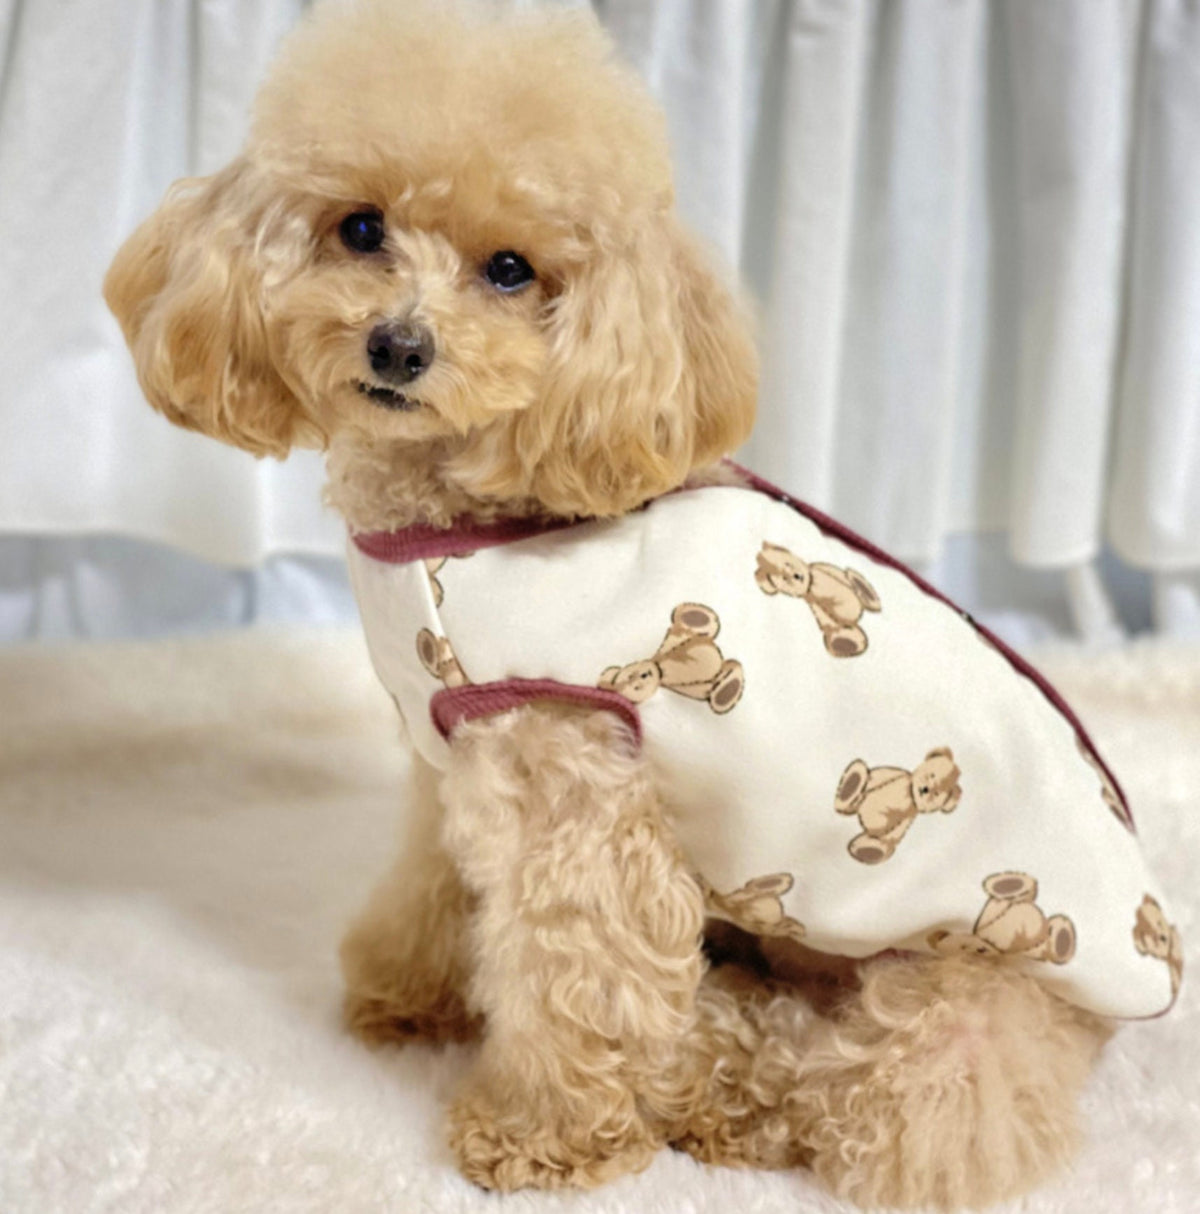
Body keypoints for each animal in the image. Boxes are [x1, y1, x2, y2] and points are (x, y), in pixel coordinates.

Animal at [599, 603, 744, 714]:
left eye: (638, 676)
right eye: (636, 687)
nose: (645, 674)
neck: (659, 668)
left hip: (687, 629)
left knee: (684, 617)